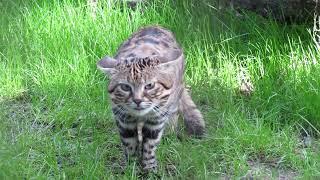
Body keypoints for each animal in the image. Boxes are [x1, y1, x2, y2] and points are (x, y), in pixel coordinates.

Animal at [97, 25, 205, 172]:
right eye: (125, 87)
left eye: (149, 85)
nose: (137, 100)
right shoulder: (123, 118)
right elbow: (129, 144)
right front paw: (131, 167)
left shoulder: (156, 119)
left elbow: (150, 145)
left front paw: (149, 168)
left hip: (175, 96)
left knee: (174, 114)